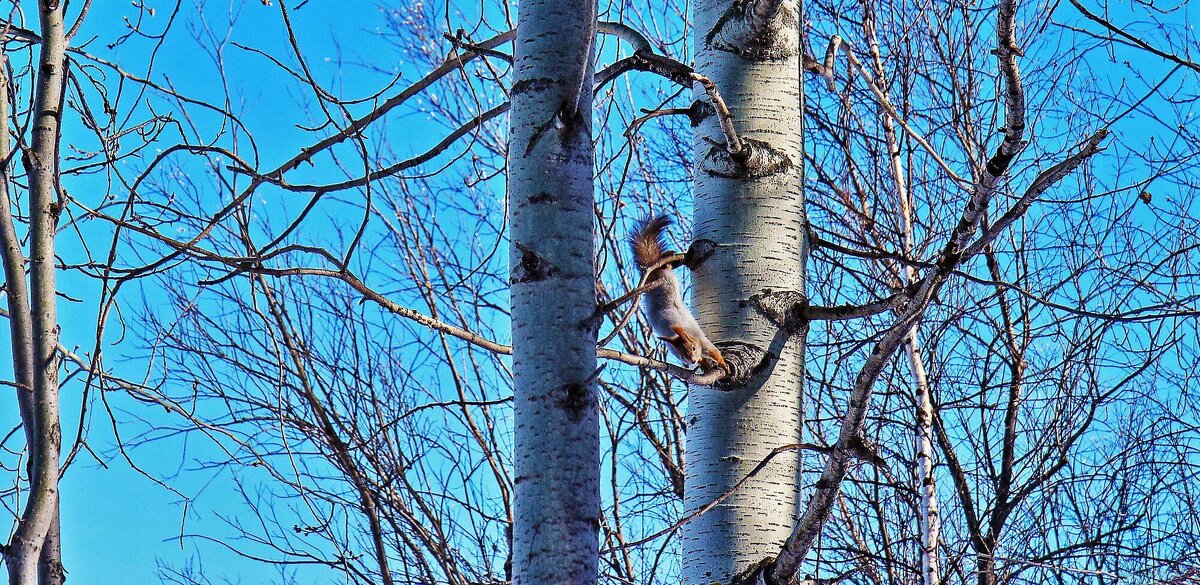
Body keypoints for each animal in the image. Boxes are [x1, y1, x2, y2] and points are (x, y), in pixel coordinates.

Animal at [633, 212, 724, 371]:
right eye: (682, 356)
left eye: (693, 348)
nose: (692, 360)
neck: (673, 332)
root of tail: (652, 272)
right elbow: (704, 357)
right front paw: (704, 363)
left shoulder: (701, 340)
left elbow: (714, 352)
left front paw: (724, 365)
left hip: (665, 275)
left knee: (665, 264)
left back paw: (669, 255)